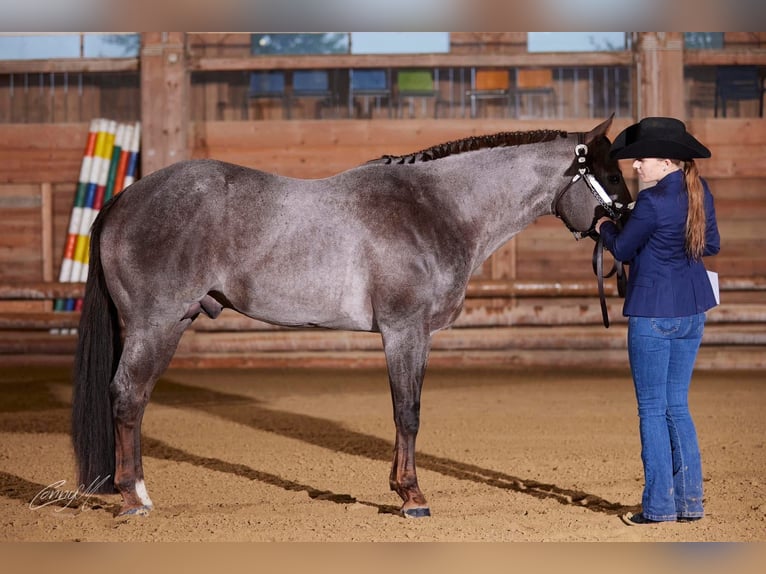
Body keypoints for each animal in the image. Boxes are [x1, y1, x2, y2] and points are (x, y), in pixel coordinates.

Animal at [73, 115, 632, 520]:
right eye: (609, 175)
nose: (630, 220)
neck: (436, 208)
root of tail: (125, 198)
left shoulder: (416, 335)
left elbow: (407, 410)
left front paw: (401, 489)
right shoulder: (403, 331)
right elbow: (407, 411)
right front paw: (412, 497)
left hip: (170, 324)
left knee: (136, 398)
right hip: (155, 325)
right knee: (127, 395)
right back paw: (133, 499)